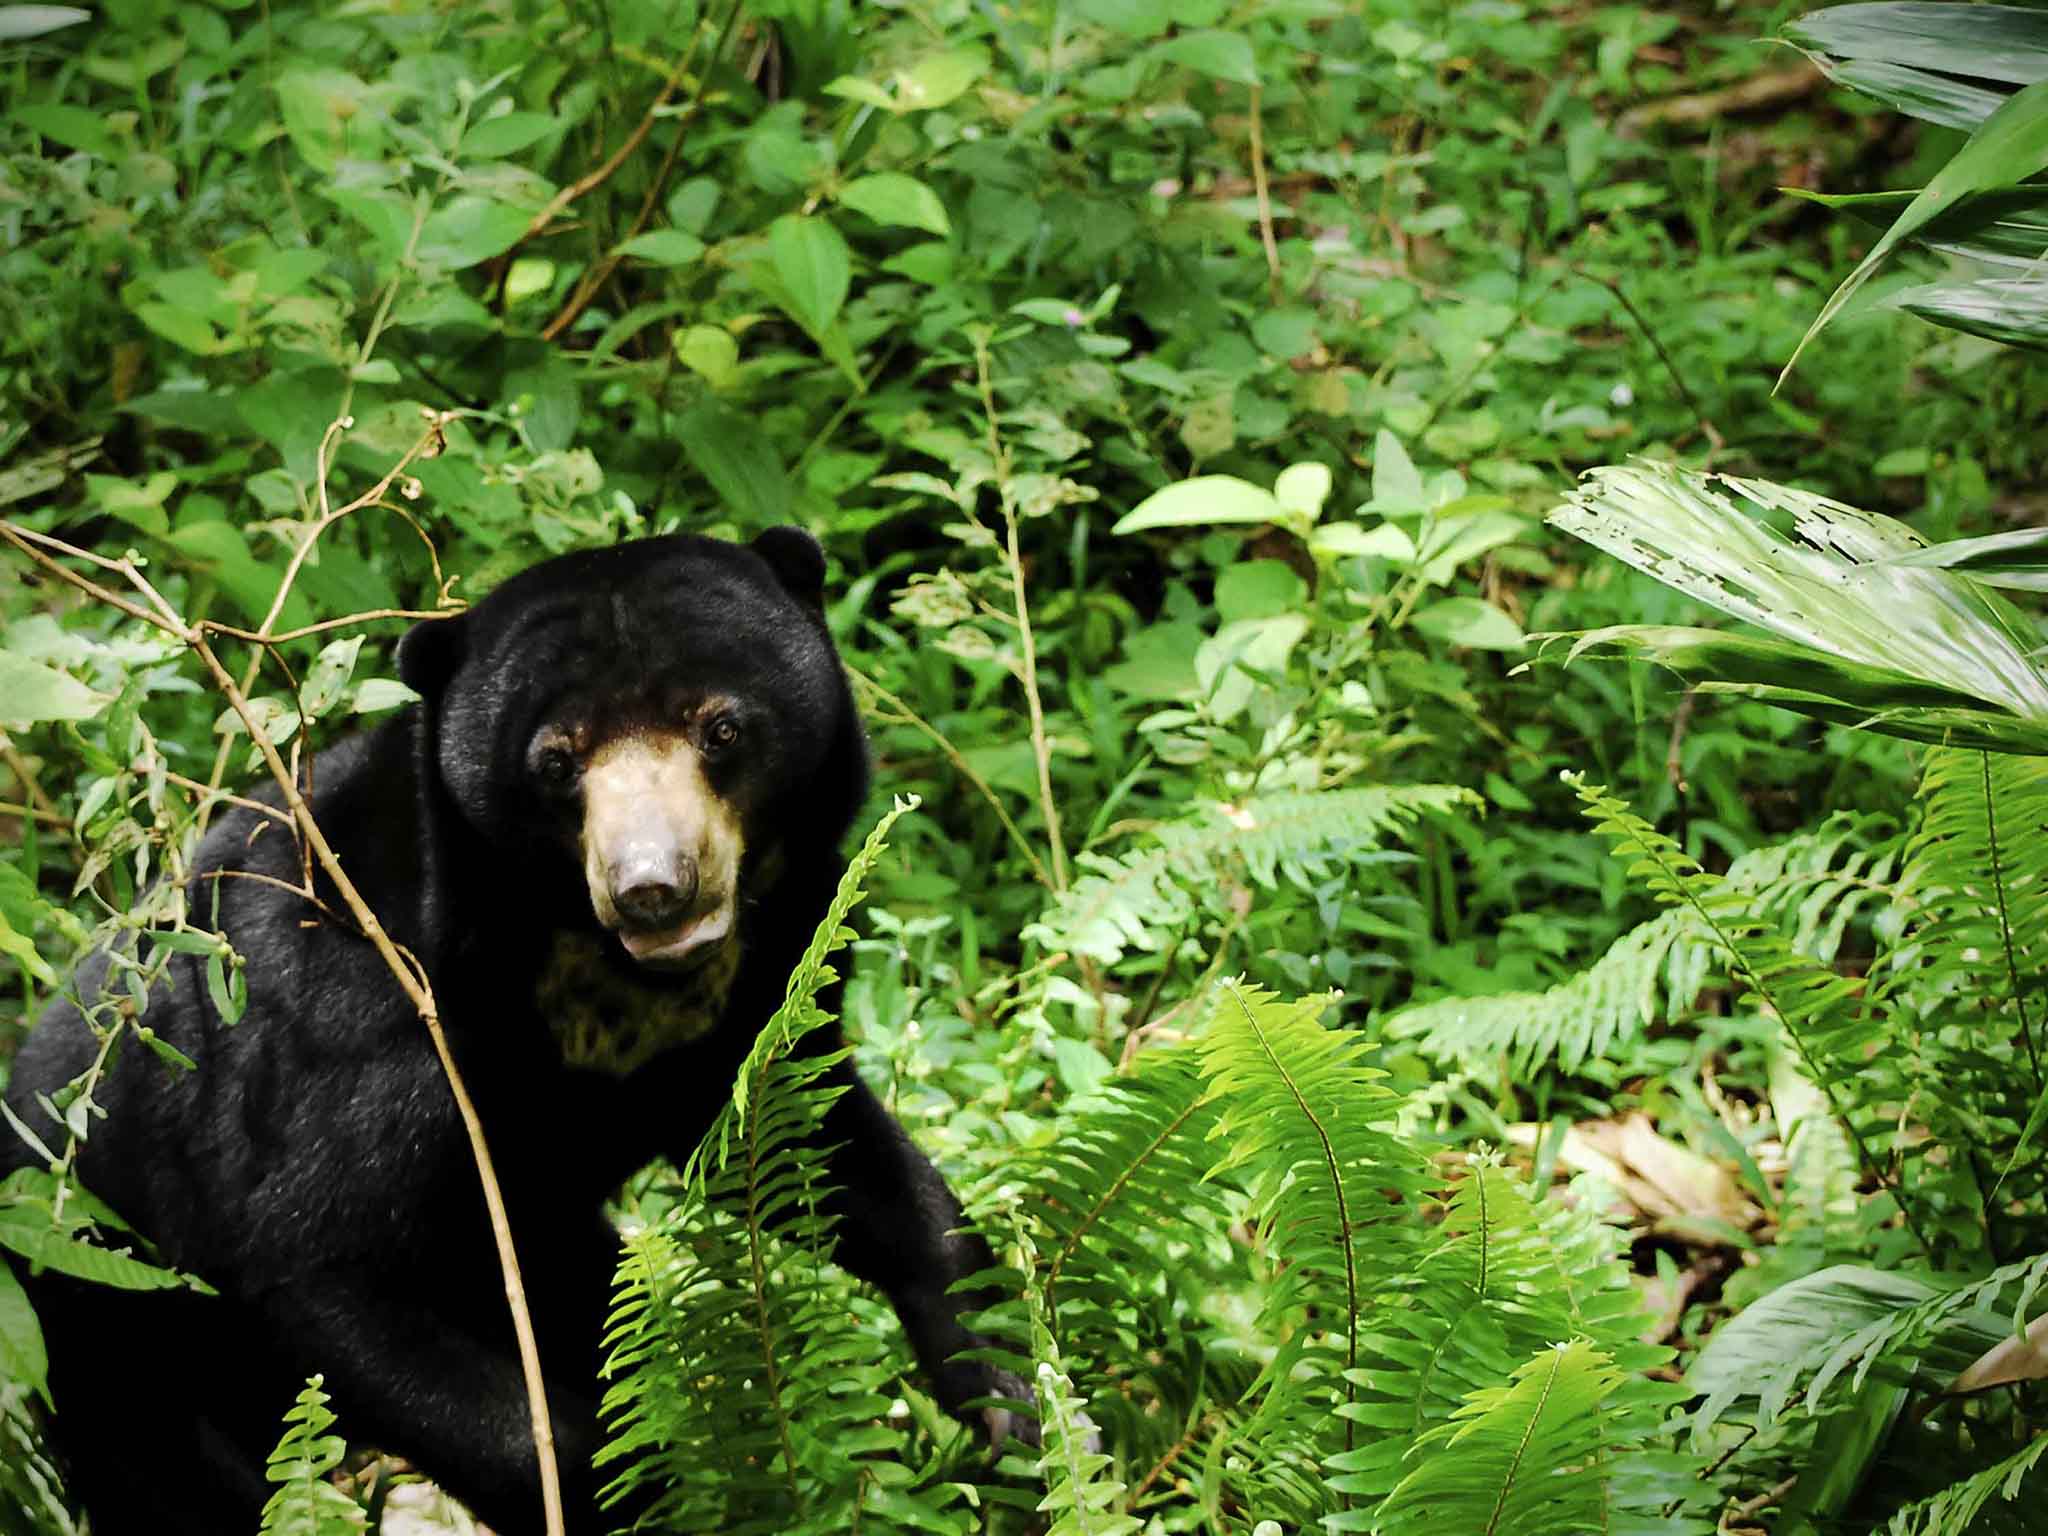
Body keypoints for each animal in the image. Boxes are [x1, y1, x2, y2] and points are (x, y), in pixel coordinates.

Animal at [0, 532, 1024, 1536]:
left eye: (721, 729)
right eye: (557, 763)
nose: (654, 887)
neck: (591, 966)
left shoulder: (757, 991)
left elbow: (807, 1143)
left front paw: (1005, 1389)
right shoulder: (362, 1044)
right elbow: (328, 1265)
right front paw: (636, 1497)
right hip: (112, 1321)